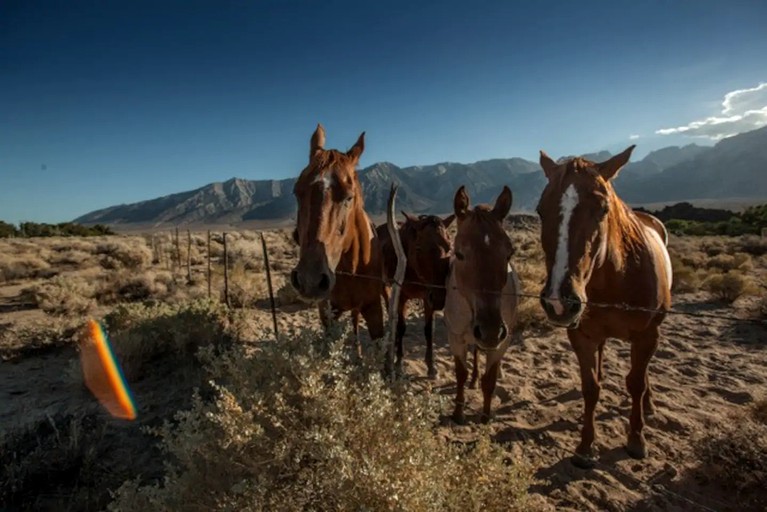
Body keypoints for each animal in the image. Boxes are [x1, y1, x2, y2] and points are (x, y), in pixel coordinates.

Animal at [378, 210, 456, 378]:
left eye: (449, 247)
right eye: (419, 248)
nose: (440, 298)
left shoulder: (428, 299)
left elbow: (429, 330)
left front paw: (431, 366)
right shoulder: (402, 297)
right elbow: (401, 326)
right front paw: (398, 363)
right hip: (384, 286)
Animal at [444, 186, 520, 422]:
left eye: (509, 253)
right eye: (459, 254)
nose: (491, 331)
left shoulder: (502, 341)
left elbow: (490, 379)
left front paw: (486, 415)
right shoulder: (456, 337)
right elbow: (460, 374)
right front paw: (458, 412)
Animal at [536, 145, 672, 468]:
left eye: (602, 208)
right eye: (540, 210)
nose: (559, 301)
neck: (617, 276)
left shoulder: (647, 336)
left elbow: (635, 383)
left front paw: (636, 439)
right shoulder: (581, 335)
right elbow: (591, 387)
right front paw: (586, 446)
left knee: (642, 375)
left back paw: (649, 404)